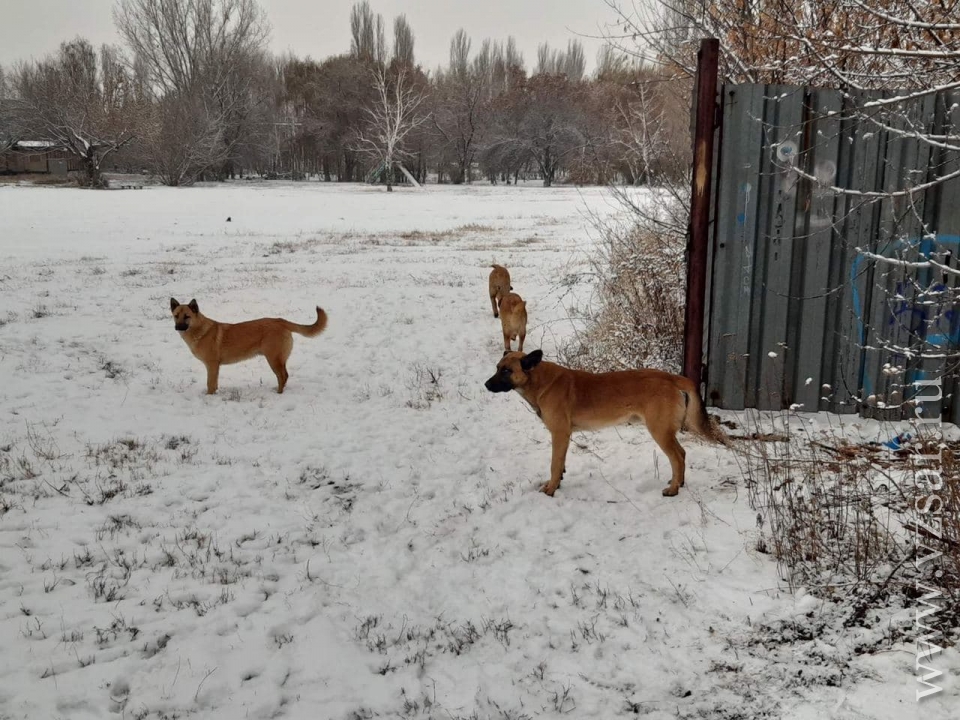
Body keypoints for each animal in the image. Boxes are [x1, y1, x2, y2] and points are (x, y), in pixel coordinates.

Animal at [169, 300, 326, 396]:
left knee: (282, 376)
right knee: (284, 376)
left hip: (273, 359)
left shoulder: (212, 365)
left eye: (187, 316)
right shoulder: (215, 367)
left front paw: (209, 397)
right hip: (278, 360)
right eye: (176, 316)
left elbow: (210, 384)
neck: (200, 330)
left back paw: (279, 393)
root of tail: (280, 321)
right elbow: (214, 383)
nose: (177, 327)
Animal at [484, 352, 724, 498]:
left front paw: (551, 489)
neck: (540, 381)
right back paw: (678, 482)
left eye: (506, 371)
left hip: (659, 431)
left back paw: (673, 489)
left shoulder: (559, 434)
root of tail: (672, 378)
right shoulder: (564, 437)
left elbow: (554, 464)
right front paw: (558, 481)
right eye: (497, 368)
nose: (486, 385)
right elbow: (560, 465)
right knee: (681, 454)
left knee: (677, 457)